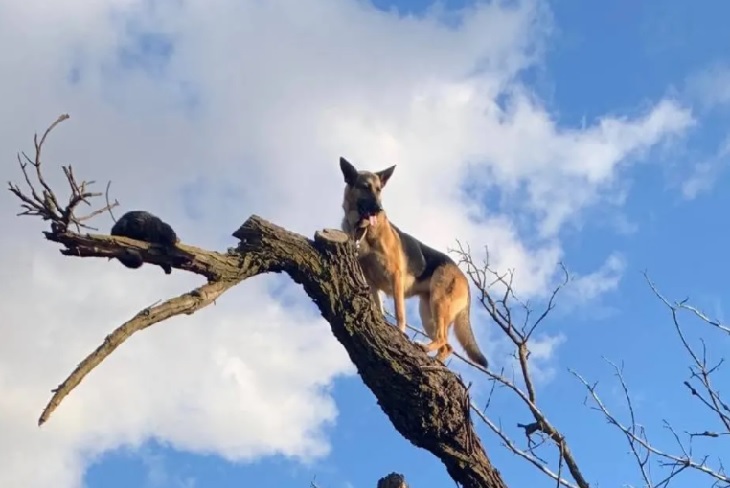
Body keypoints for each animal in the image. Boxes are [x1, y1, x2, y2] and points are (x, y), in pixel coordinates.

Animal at [336, 156, 486, 366]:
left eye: (379, 189)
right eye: (365, 187)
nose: (379, 209)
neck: (363, 231)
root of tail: (463, 278)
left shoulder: (395, 277)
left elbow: (400, 312)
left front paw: (399, 332)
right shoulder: (371, 284)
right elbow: (379, 310)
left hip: (438, 304)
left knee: (443, 339)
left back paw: (424, 348)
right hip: (428, 312)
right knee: (447, 345)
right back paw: (435, 360)